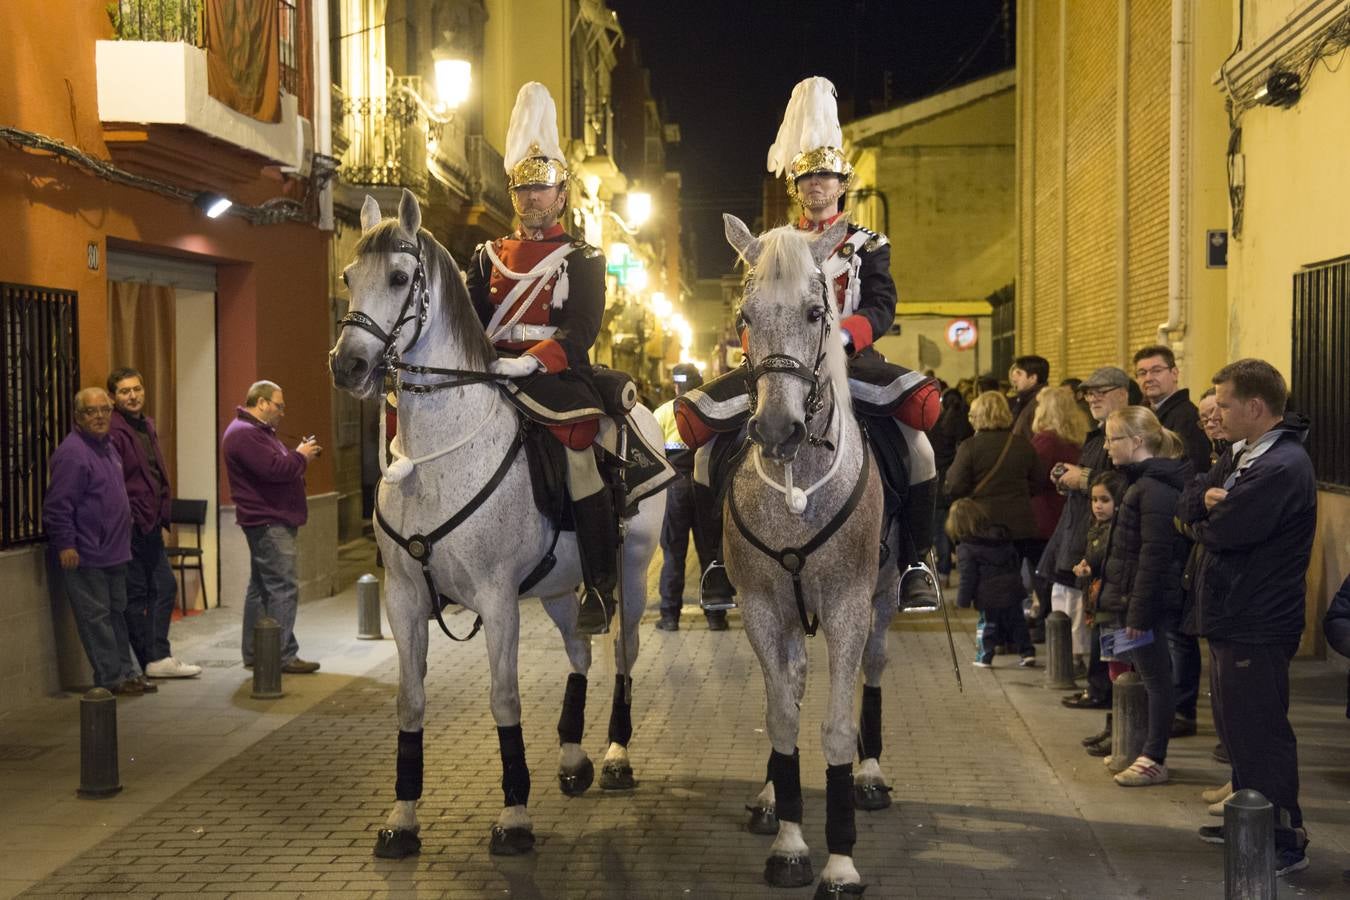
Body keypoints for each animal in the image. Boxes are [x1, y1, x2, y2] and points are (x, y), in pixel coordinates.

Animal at [326, 188, 664, 858]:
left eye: (399, 277)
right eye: (348, 277)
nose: (347, 366)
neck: (438, 458)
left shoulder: (498, 597)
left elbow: (504, 699)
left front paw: (514, 815)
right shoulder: (405, 597)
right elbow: (409, 701)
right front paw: (402, 818)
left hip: (633, 572)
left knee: (624, 652)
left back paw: (615, 754)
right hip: (559, 587)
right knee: (580, 649)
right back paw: (572, 755)